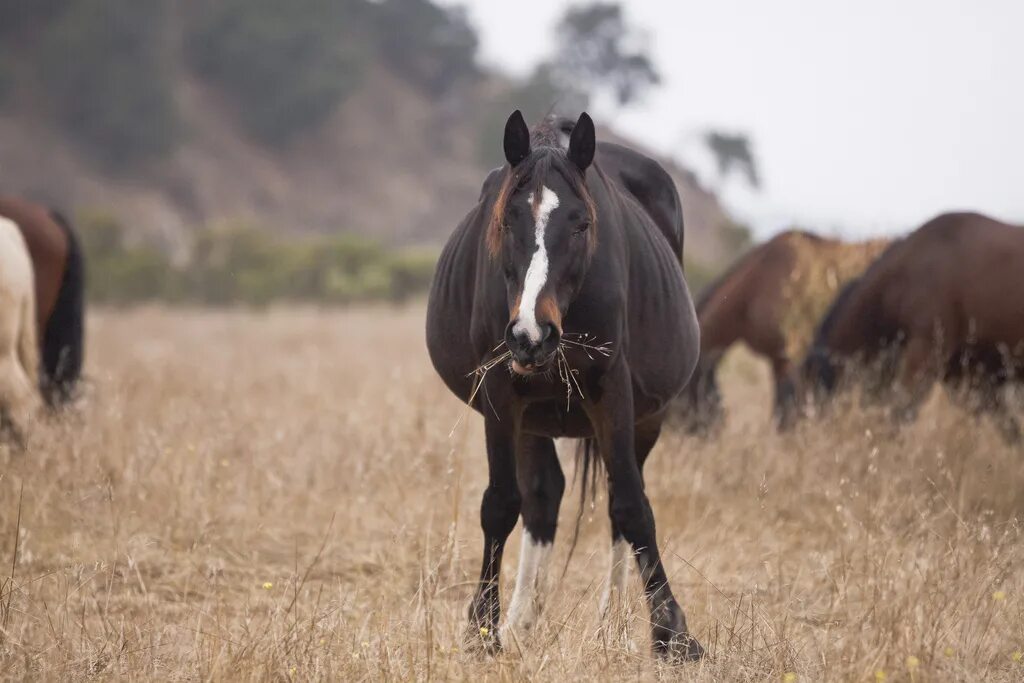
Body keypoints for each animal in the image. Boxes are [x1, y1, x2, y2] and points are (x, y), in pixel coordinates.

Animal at [423, 113, 704, 663]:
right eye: (506, 221)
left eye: (581, 223)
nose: (531, 334)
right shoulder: (500, 393)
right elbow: (501, 504)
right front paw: (483, 630)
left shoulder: (613, 392)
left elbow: (633, 507)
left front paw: (674, 635)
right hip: (532, 418)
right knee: (542, 496)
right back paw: (522, 620)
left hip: (645, 419)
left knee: (618, 503)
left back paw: (610, 623)